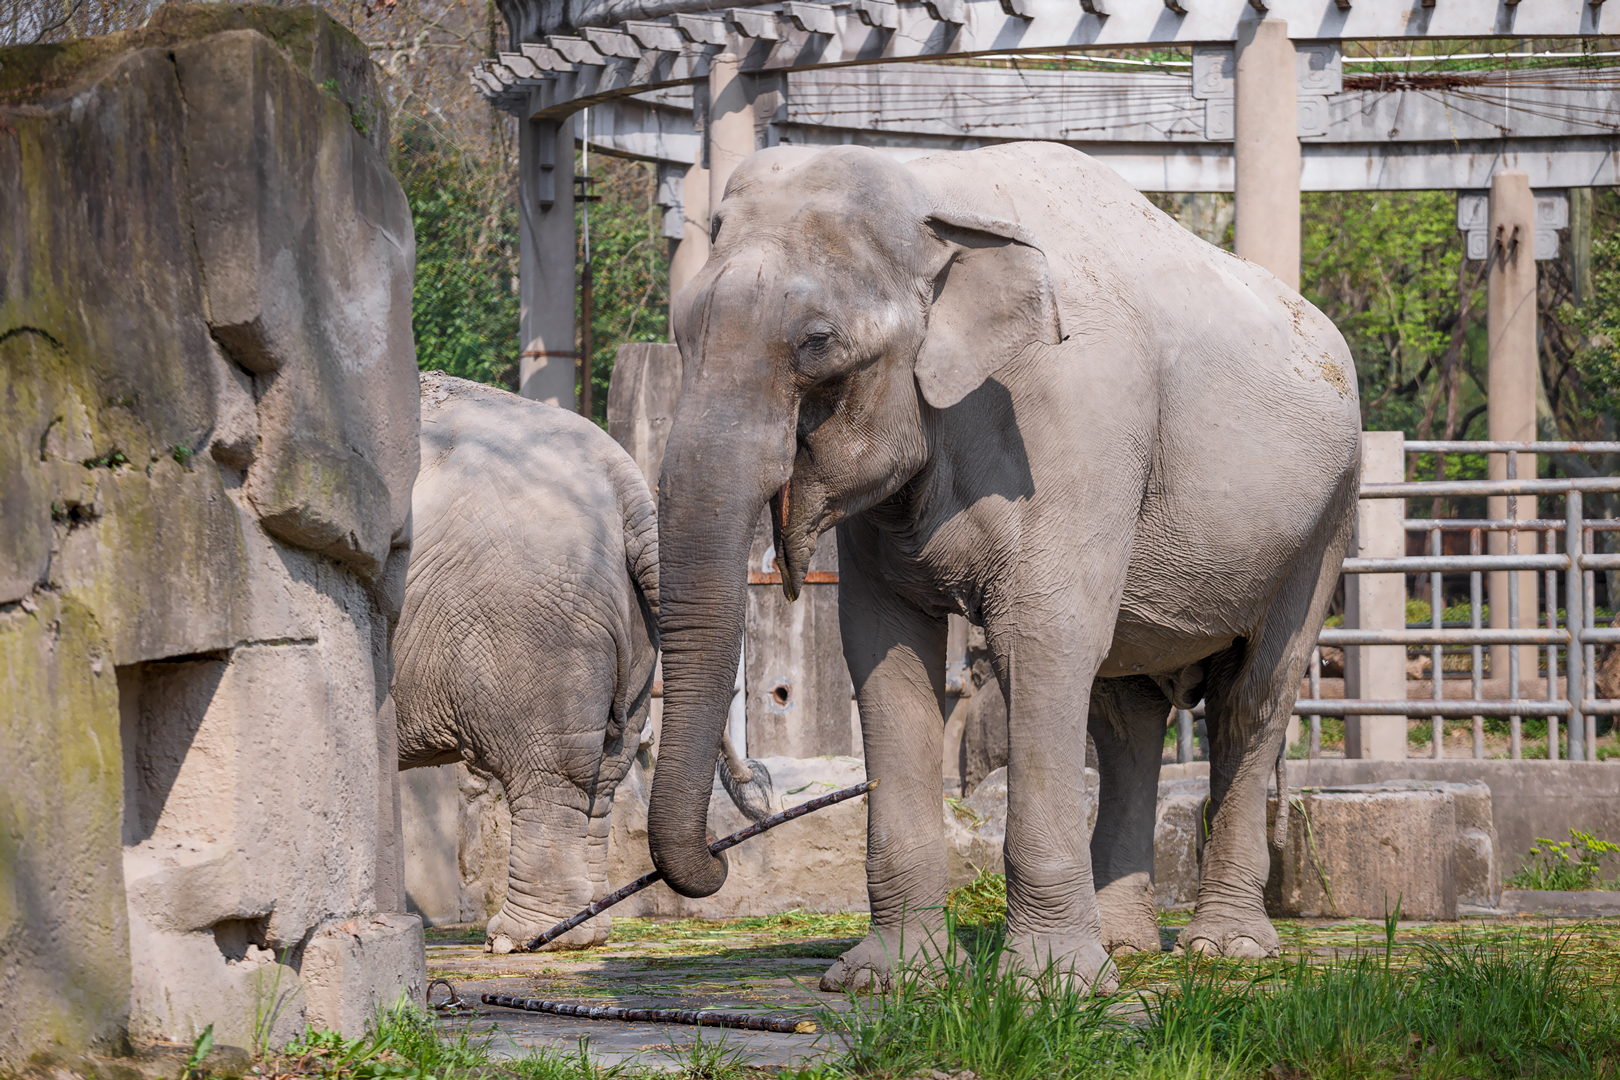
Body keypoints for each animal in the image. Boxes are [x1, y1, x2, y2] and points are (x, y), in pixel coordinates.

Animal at [644, 142, 1361, 994]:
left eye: (818, 342)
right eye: (680, 332)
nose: (727, 849)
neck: (935, 185)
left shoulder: (1075, 422)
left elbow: (1042, 641)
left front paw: (1054, 986)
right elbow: (884, 652)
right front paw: (888, 981)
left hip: (1326, 518)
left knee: (1253, 698)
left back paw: (1225, 951)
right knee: (1124, 716)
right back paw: (1126, 945)